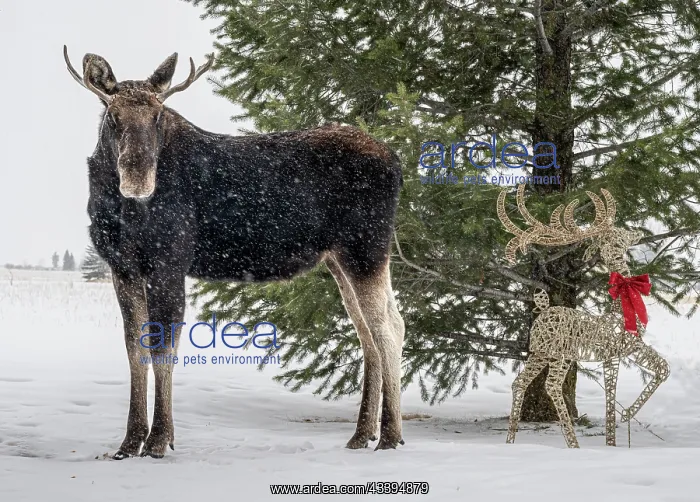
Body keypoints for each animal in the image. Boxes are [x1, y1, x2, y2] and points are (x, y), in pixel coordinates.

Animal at [63, 47, 405, 458]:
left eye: (158, 115)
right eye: (113, 116)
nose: (138, 179)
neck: (119, 208)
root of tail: (397, 162)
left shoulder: (169, 261)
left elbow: (163, 349)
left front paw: (159, 439)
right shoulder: (123, 267)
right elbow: (135, 349)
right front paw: (130, 442)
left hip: (366, 248)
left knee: (390, 329)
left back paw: (389, 435)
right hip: (339, 258)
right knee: (369, 335)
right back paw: (361, 434)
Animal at [497, 184, 669, 448]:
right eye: (619, 234)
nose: (637, 232)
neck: (620, 311)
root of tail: (543, 311)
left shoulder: (620, 352)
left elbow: (636, 381)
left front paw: (618, 429)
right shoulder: (623, 349)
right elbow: (640, 379)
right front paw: (620, 425)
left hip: (539, 352)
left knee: (520, 382)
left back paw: (510, 441)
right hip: (559, 354)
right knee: (552, 385)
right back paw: (573, 444)